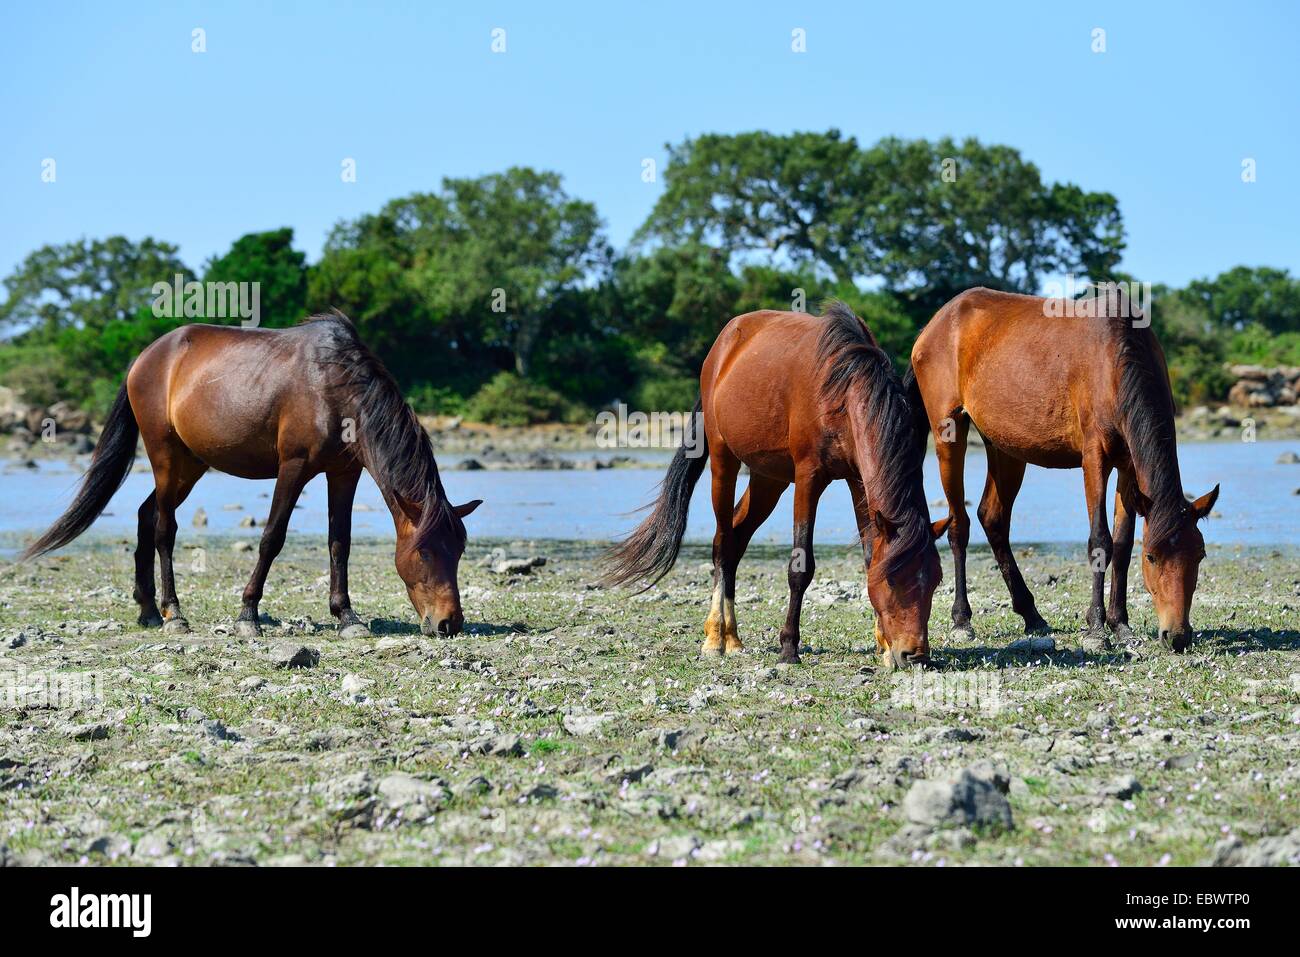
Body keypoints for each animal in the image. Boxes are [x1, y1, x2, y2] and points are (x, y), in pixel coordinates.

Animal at [21, 314, 483, 639]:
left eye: (459, 550)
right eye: (425, 553)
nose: (450, 623)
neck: (334, 386)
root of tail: (146, 357)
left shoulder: (344, 473)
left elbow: (340, 543)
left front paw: (346, 616)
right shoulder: (293, 467)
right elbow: (271, 538)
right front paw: (248, 614)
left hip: (190, 465)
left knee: (145, 514)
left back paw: (149, 610)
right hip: (165, 456)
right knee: (165, 529)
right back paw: (174, 613)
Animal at [603, 302, 951, 670]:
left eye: (934, 580)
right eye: (893, 580)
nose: (915, 654)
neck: (843, 388)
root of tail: (721, 348)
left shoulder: (858, 480)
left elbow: (871, 552)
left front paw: (883, 646)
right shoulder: (809, 478)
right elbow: (801, 566)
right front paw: (788, 648)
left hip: (768, 478)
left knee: (737, 538)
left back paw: (733, 638)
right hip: (724, 462)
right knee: (723, 542)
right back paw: (716, 638)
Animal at [909, 287, 1211, 655]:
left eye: (1199, 554)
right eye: (1152, 557)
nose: (1177, 635)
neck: (1116, 357)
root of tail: (934, 325)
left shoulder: (1128, 466)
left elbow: (1122, 544)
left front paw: (1120, 625)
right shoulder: (1094, 458)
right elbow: (1100, 540)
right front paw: (1096, 629)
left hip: (1005, 447)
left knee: (992, 517)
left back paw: (1031, 614)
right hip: (948, 435)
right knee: (958, 526)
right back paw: (962, 620)